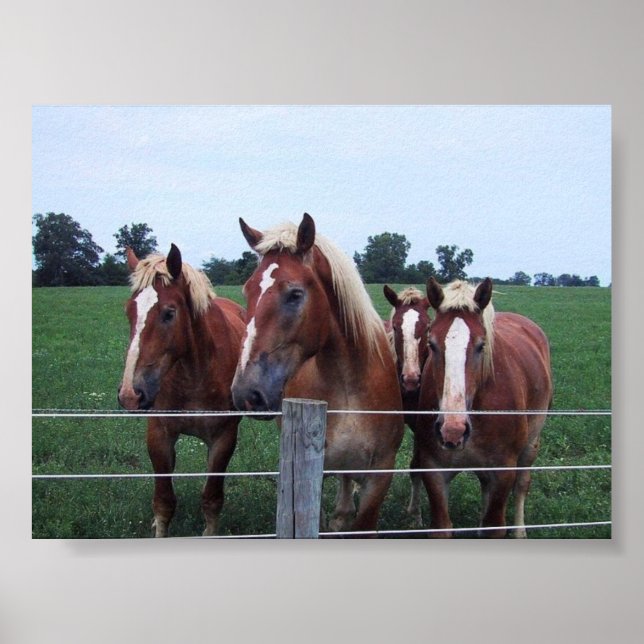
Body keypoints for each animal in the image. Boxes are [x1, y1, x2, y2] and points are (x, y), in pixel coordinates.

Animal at [117, 244, 247, 537]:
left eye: (169, 313)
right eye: (129, 312)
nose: (131, 394)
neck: (194, 374)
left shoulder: (223, 439)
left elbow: (211, 499)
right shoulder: (159, 435)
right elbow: (164, 501)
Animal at [415, 277, 553, 537]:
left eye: (481, 345)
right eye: (431, 343)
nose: (453, 430)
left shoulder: (503, 471)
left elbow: (495, 525)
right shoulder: (433, 469)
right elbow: (442, 527)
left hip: (532, 443)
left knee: (523, 484)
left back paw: (520, 531)